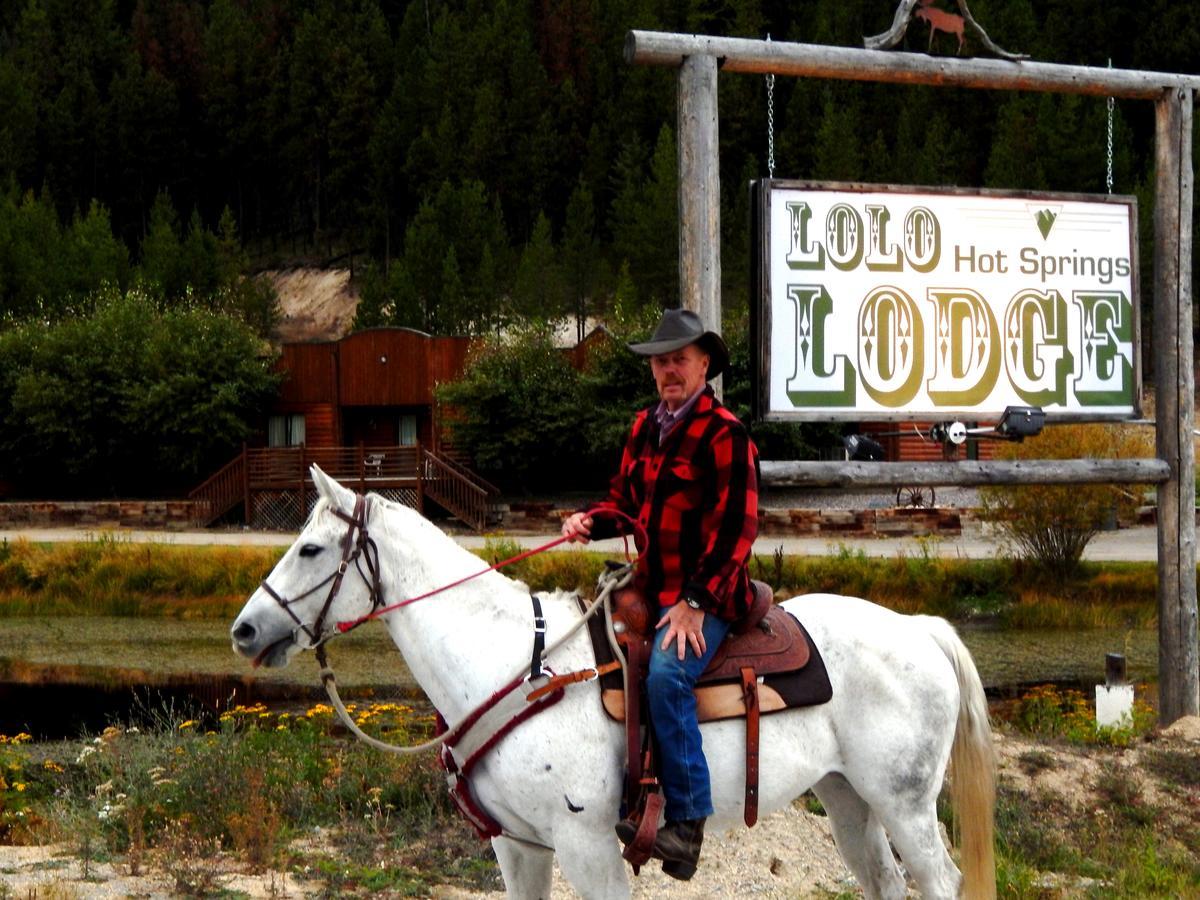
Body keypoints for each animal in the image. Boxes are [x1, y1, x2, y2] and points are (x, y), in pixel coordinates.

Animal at [231, 472, 993, 900]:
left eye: (310, 548)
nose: (244, 629)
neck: (515, 669)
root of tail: (920, 628)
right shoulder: (518, 848)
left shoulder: (589, 848)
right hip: (848, 798)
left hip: (906, 804)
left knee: (939, 882)